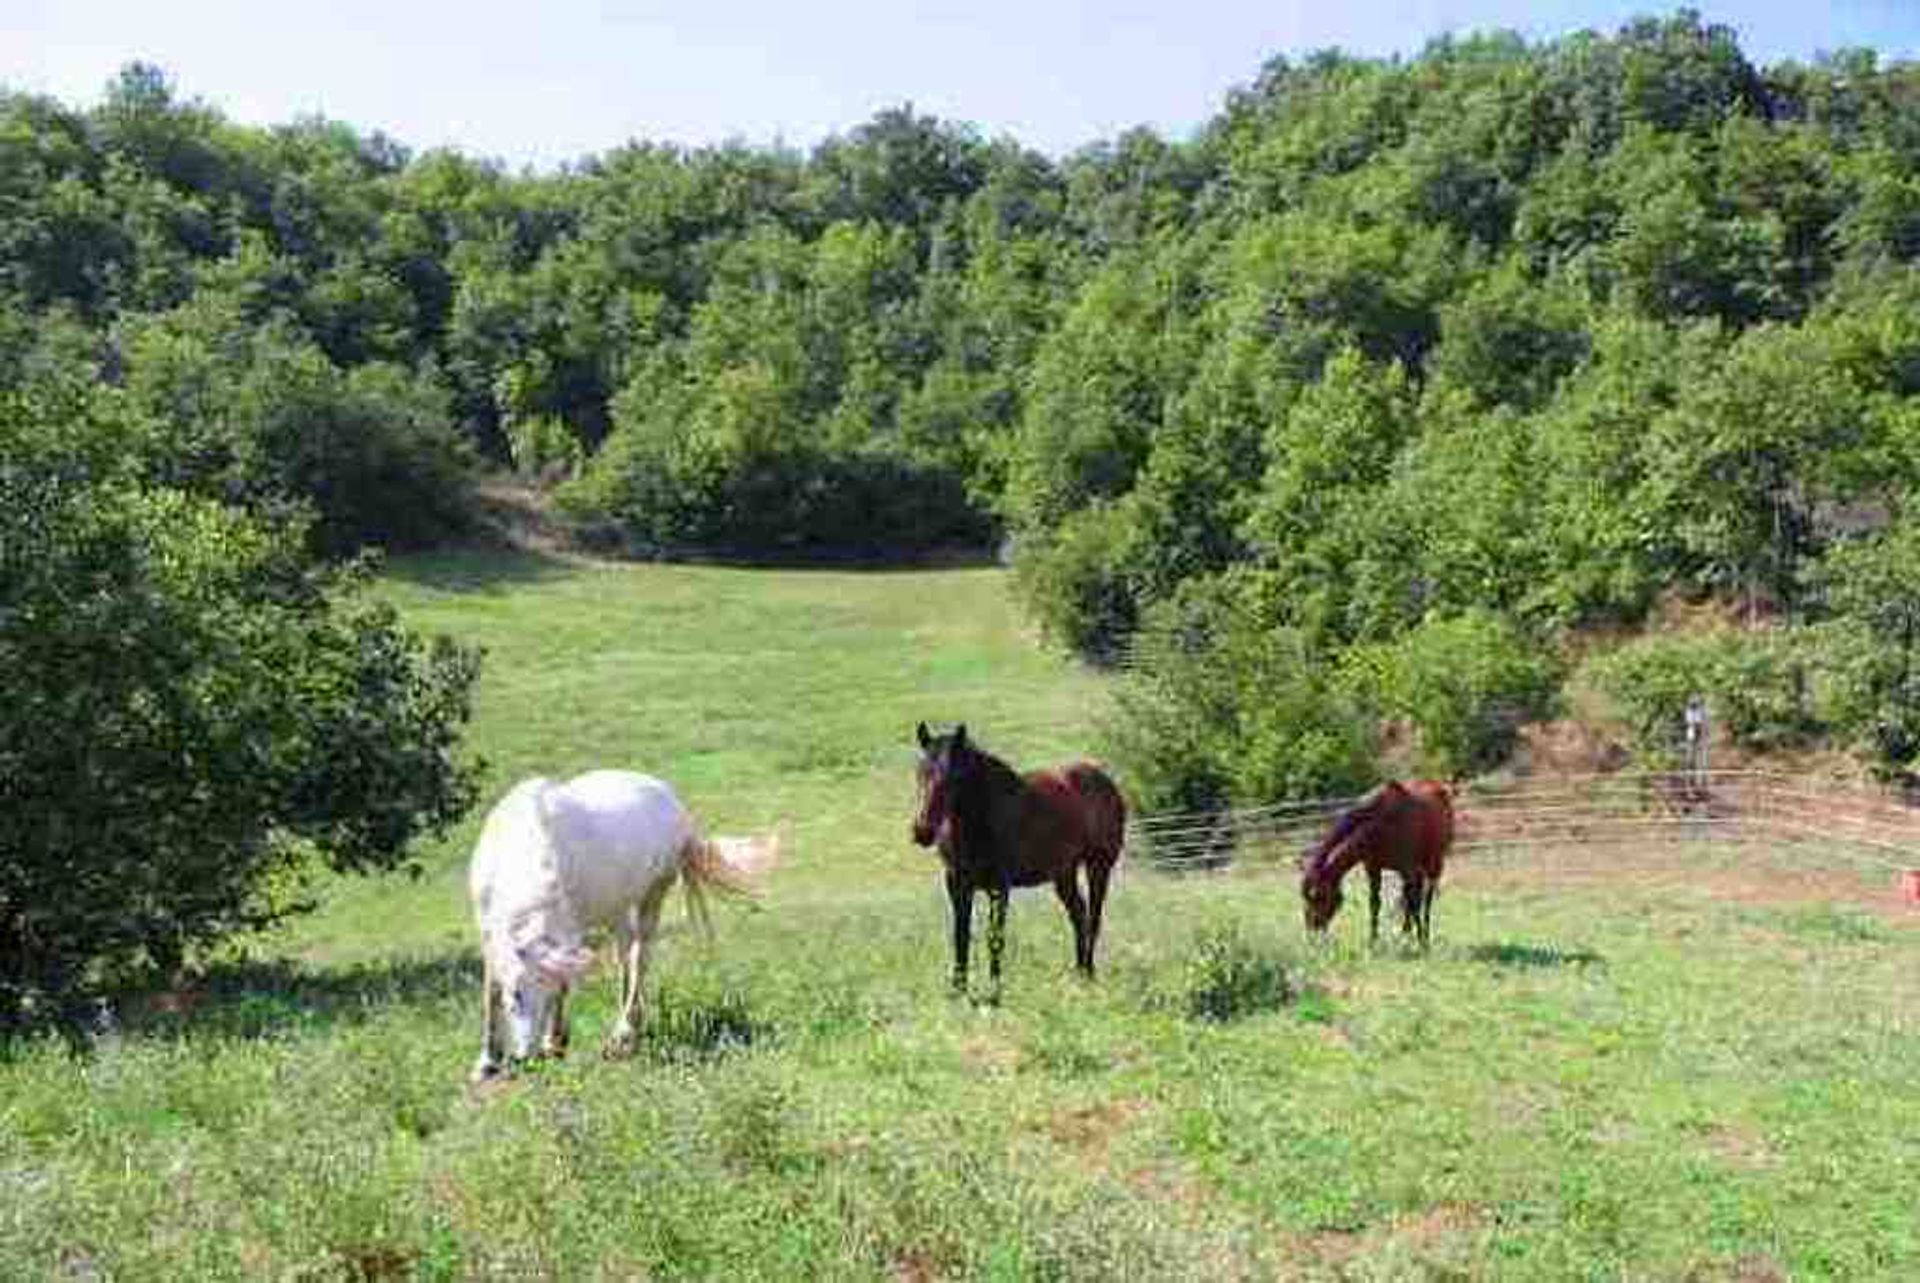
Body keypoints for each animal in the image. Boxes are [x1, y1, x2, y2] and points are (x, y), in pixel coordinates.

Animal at [468, 772, 775, 1083]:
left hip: (651, 897)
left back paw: (624, 1034)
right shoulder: (490, 934)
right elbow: (490, 993)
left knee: (640, 960)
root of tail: (673, 801)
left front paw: (553, 1043)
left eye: (546, 992)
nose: (525, 1057)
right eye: (516, 994)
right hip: (617, 911)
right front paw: (487, 1062)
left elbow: (566, 984)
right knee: (625, 959)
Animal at [910, 722, 1121, 991]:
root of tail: (1106, 781)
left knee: (1093, 918)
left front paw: (994, 990)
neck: (982, 820)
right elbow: (961, 935)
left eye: (954, 778)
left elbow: (995, 937)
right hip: (1064, 874)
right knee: (1079, 915)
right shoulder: (957, 884)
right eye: (920, 773)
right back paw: (1079, 973)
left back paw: (1089, 975)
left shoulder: (999, 887)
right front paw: (958, 989)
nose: (922, 831)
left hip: (1099, 867)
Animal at [1305, 775, 1451, 948]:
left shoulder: (1408, 869)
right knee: (1412, 896)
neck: (1381, 825)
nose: (1312, 926)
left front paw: (1422, 940)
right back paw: (1406, 932)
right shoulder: (1373, 868)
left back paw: (1424, 934)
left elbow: (1414, 903)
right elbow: (1375, 903)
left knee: (1427, 897)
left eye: (1318, 895)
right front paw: (1373, 940)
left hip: (1434, 862)